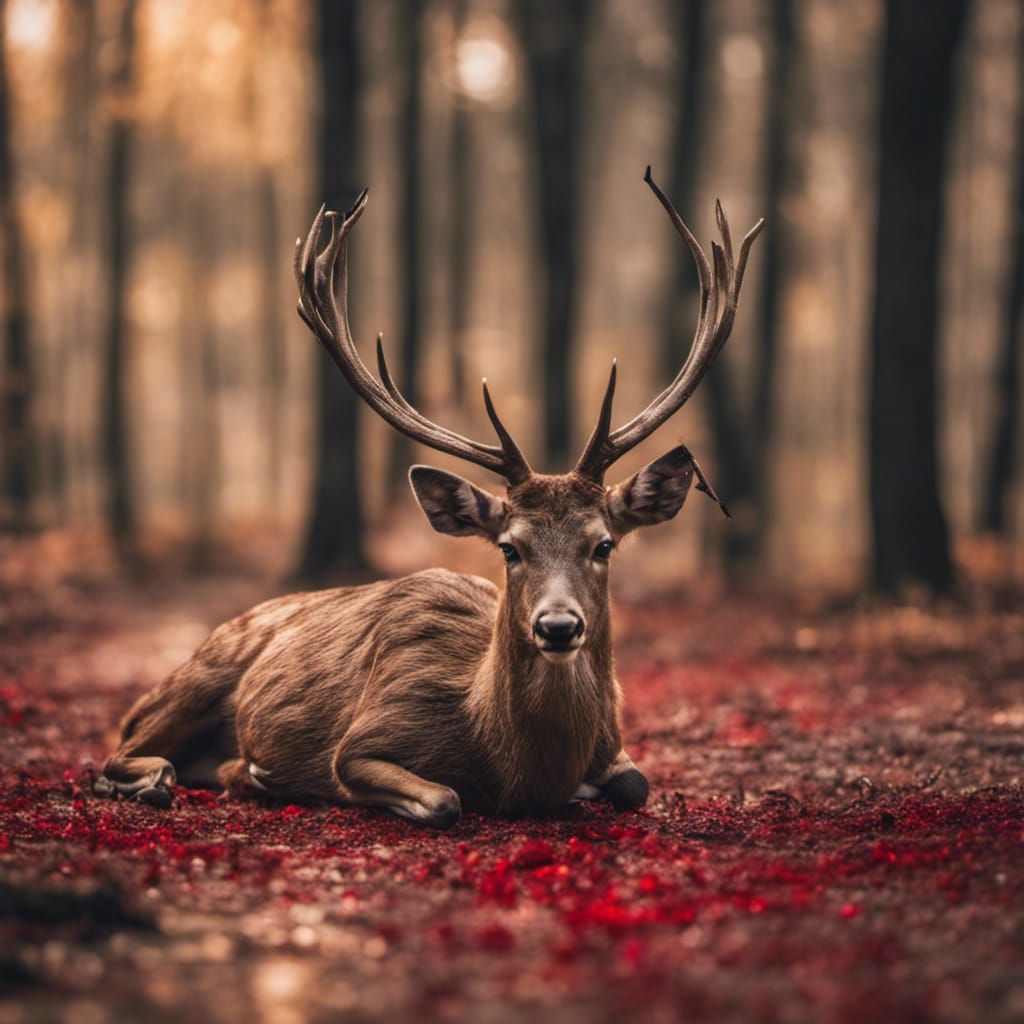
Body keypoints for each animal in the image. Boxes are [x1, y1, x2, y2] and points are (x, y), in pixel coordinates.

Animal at [93, 169, 762, 828]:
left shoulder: (616, 747)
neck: (514, 766)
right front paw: (263, 772)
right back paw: (163, 778)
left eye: (604, 545)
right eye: (509, 548)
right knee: (119, 747)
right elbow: (440, 798)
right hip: (196, 678)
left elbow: (634, 782)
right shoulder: (366, 736)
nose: (558, 625)